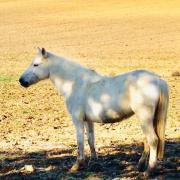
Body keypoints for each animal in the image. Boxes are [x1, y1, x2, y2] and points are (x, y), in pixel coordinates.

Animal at [19, 47, 169, 176]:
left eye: (36, 64)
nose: (21, 81)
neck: (74, 83)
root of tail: (157, 79)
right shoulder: (88, 120)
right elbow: (91, 139)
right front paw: (94, 162)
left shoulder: (78, 120)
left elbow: (80, 141)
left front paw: (77, 165)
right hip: (147, 119)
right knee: (147, 140)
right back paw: (140, 165)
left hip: (145, 118)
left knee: (153, 140)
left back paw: (149, 170)